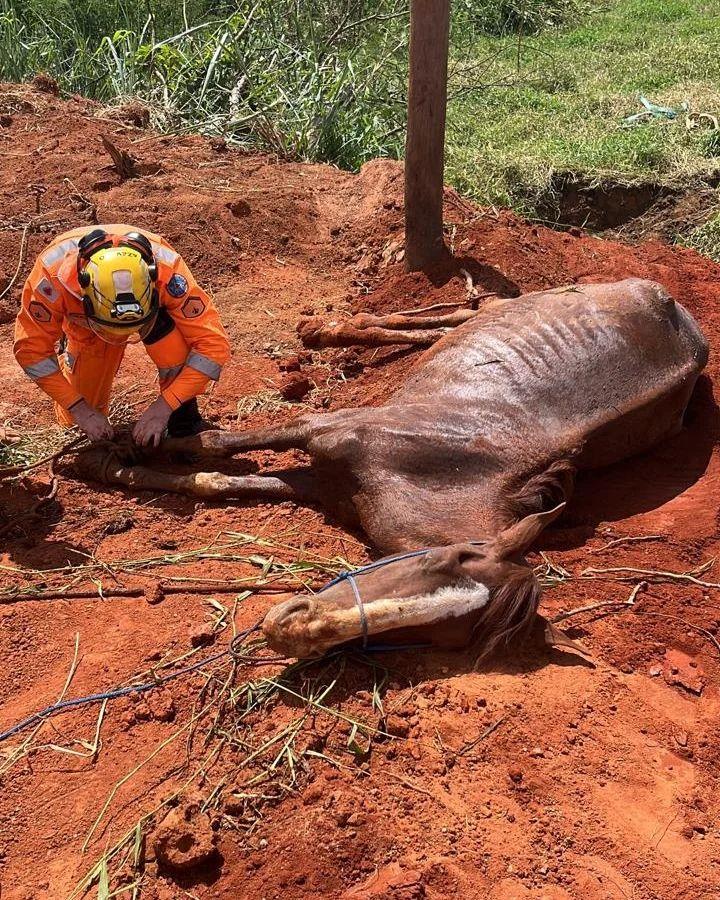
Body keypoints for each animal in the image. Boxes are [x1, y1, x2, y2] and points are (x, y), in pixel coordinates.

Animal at [83, 282, 708, 660]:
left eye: (432, 637)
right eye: (439, 558)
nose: (289, 626)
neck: (441, 471)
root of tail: (671, 305)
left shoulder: (319, 483)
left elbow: (216, 478)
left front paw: (116, 468)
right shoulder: (321, 428)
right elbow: (212, 447)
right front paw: (106, 455)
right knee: (459, 315)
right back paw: (326, 331)